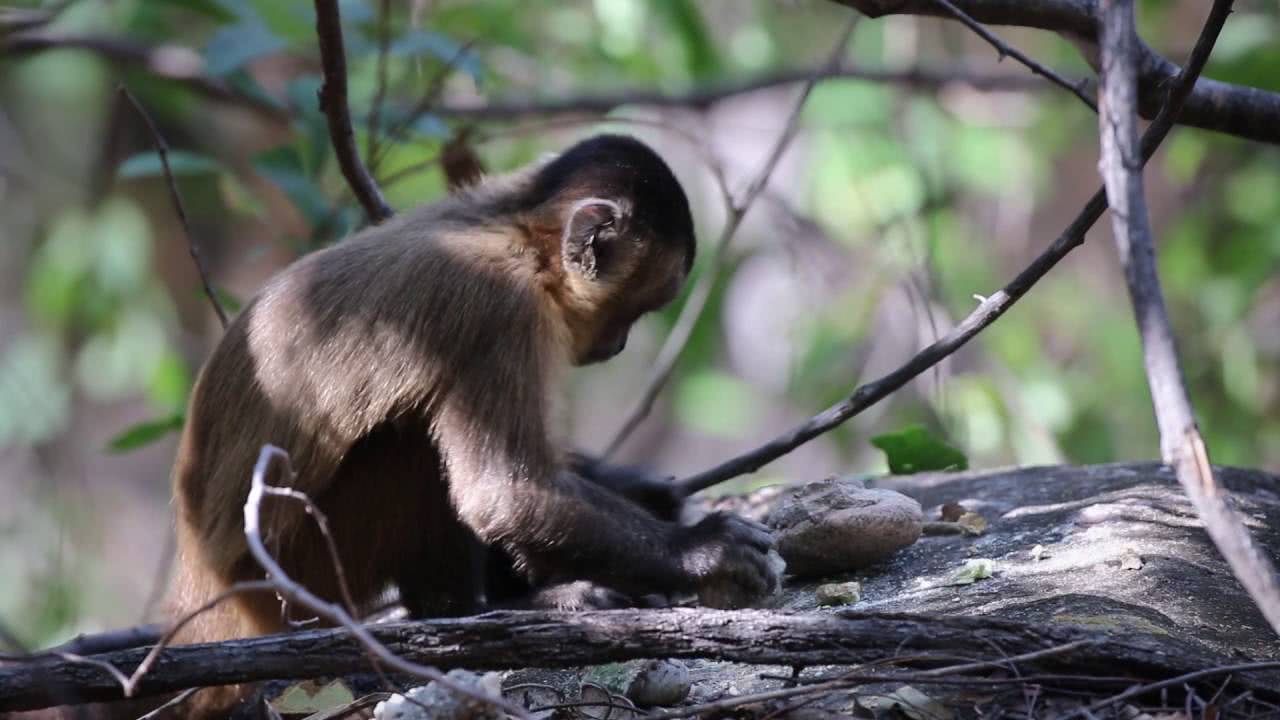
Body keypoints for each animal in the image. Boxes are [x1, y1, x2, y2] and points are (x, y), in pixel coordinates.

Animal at [160, 133, 778, 712]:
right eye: (637, 309)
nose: (620, 342)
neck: (517, 232)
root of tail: (203, 577)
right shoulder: (501, 307)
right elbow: (504, 494)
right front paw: (700, 549)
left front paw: (647, 492)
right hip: (299, 574)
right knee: (413, 437)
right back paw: (471, 614)